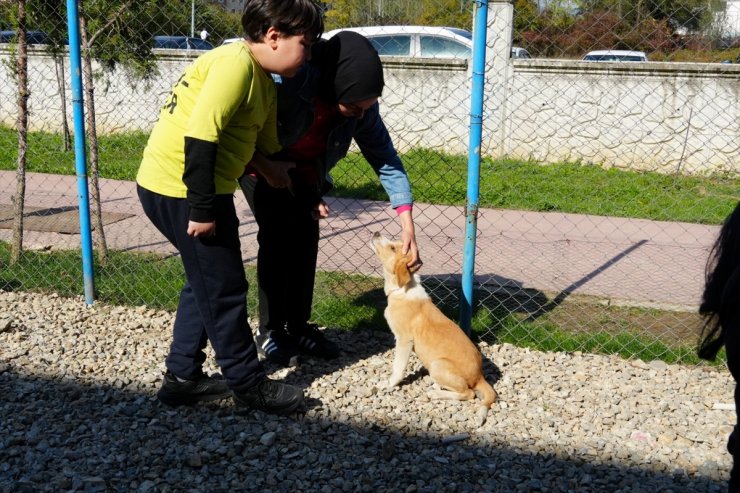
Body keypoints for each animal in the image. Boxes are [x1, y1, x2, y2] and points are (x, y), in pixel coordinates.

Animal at [370, 232, 498, 422]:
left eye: (392, 248)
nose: (376, 233)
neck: (402, 289)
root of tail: (479, 376)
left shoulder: (404, 340)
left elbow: (398, 367)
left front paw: (389, 384)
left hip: (438, 364)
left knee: (469, 393)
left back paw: (435, 394)